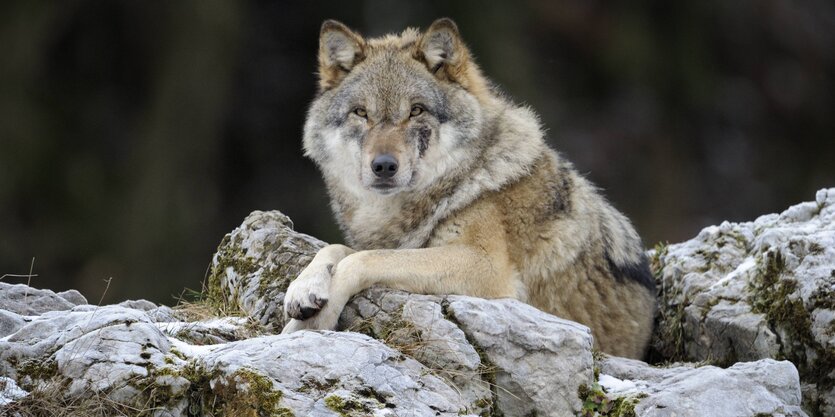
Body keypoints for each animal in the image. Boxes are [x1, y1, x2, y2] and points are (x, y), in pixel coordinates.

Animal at [284, 17, 656, 358]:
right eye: (361, 113)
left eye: (416, 111)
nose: (384, 166)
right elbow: (338, 249)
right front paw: (303, 290)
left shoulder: (485, 266)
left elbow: (361, 260)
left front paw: (310, 322)